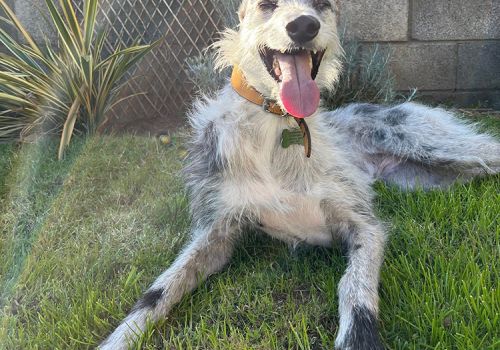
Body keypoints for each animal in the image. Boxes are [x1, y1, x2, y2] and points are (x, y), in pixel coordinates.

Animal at [99, 1, 498, 348]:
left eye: (322, 4)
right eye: (267, 4)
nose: (304, 26)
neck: (278, 130)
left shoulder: (364, 225)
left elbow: (355, 285)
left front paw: (359, 337)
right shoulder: (217, 231)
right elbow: (158, 291)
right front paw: (120, 337)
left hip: (442, 148)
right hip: (427, 177)